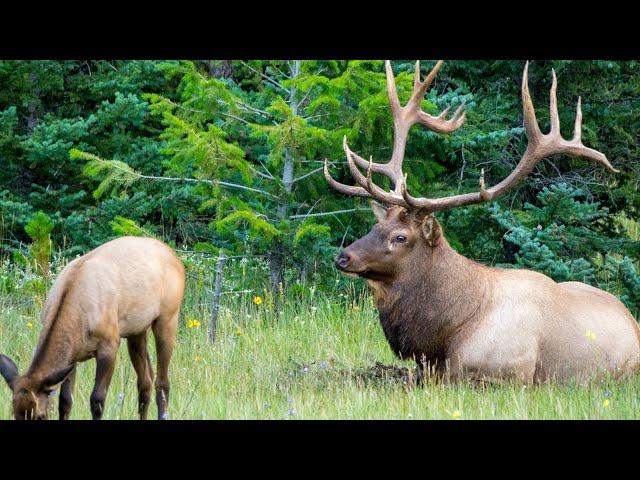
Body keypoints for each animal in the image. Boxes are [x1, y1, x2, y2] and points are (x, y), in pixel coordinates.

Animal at [0, 237, 186, 420]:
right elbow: (65, 401)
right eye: (14, 414)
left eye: (40, 416)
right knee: (145, 381)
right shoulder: (71, 358)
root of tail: (176, 258)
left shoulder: (110, 345)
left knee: (162, 382)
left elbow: (97, 400)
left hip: (168, 317)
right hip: (137, 330)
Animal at [324, 60, 640, 384]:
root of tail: (632, 321)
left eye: (400, 237)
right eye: (375, 227)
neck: (447, 333)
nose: (343, 257)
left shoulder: (511, 374)